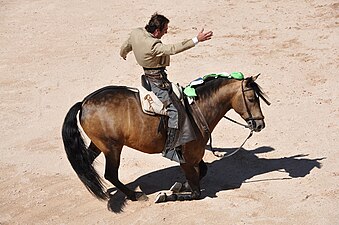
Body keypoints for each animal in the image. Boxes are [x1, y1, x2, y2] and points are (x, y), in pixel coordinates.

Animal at [61, 74, 270, 204]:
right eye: (252, 99)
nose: (260, 124)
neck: (197, 110)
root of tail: (84, 103)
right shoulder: (186, 158)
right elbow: (195, 192)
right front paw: (168, 195)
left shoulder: (194, 156)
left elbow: (203, 170)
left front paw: (179, 186)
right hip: (112, 148)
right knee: (110, 174)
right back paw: (135, 195)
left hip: (98, 145)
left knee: (86, 163)